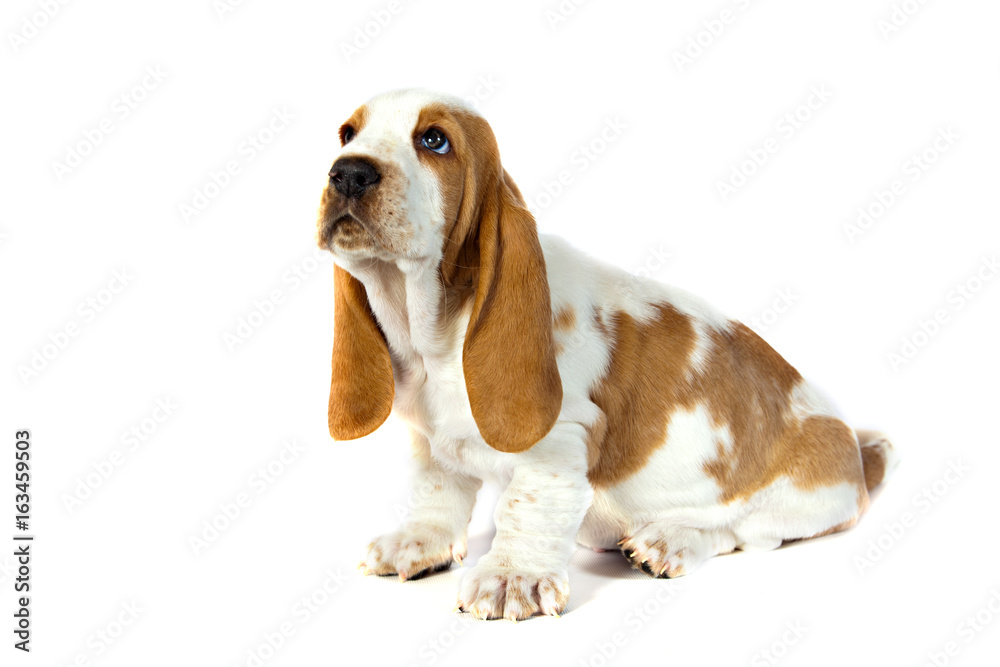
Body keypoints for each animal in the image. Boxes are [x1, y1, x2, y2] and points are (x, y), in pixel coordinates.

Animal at [314, 87, 900, 620]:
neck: (430, 332)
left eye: (434, 140)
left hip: (799, 500)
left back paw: (670, 539)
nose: (348, 173)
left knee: (741, 532)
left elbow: (526, 505)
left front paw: (512, 577)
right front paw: (418, 541)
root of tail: (857, 453)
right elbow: (437, 489)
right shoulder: (429, 440)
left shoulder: (558, 441)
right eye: (346, 134)